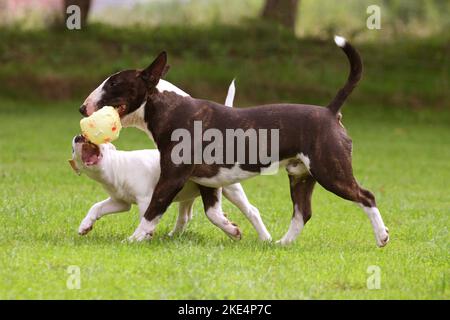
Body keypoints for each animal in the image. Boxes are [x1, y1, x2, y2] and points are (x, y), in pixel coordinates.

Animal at [70, 82, 270, 240]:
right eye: (72, 150)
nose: (78, 136)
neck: (116, 167)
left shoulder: (146, 198)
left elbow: (147, 216)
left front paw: (145, 237)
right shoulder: (120, 202)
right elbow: (96, 206)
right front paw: (85, 225)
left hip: (230, 188)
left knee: (252, 211)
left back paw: (265, 238)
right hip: (187, 192)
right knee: (185, 217)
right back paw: (175, 236)